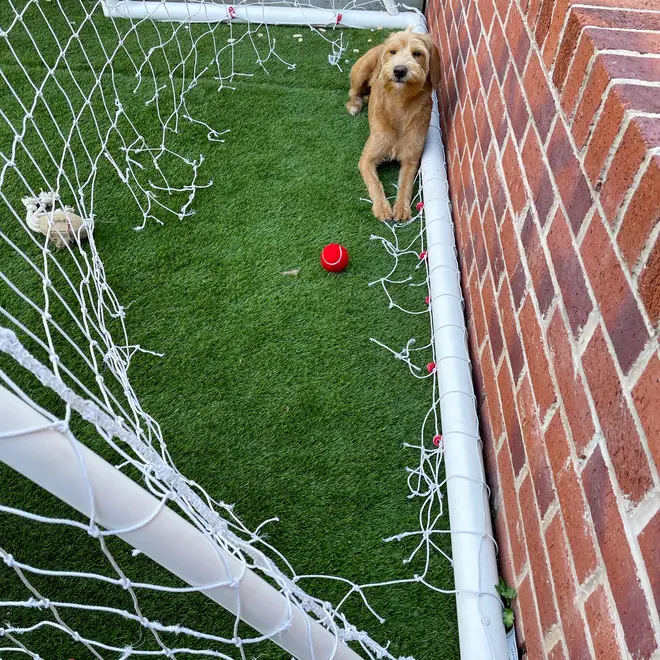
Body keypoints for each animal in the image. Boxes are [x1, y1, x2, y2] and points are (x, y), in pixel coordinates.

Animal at [348, 28, 440, 223]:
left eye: (417, 53)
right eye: (393, 52)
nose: (399, 70)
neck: (400, 106)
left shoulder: (411, 160)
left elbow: (405, 184)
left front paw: (401, 208)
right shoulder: (367, 159)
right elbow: (375, 182)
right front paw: (382, 208)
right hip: (361, 70)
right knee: (354, 91)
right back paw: (354, 105)